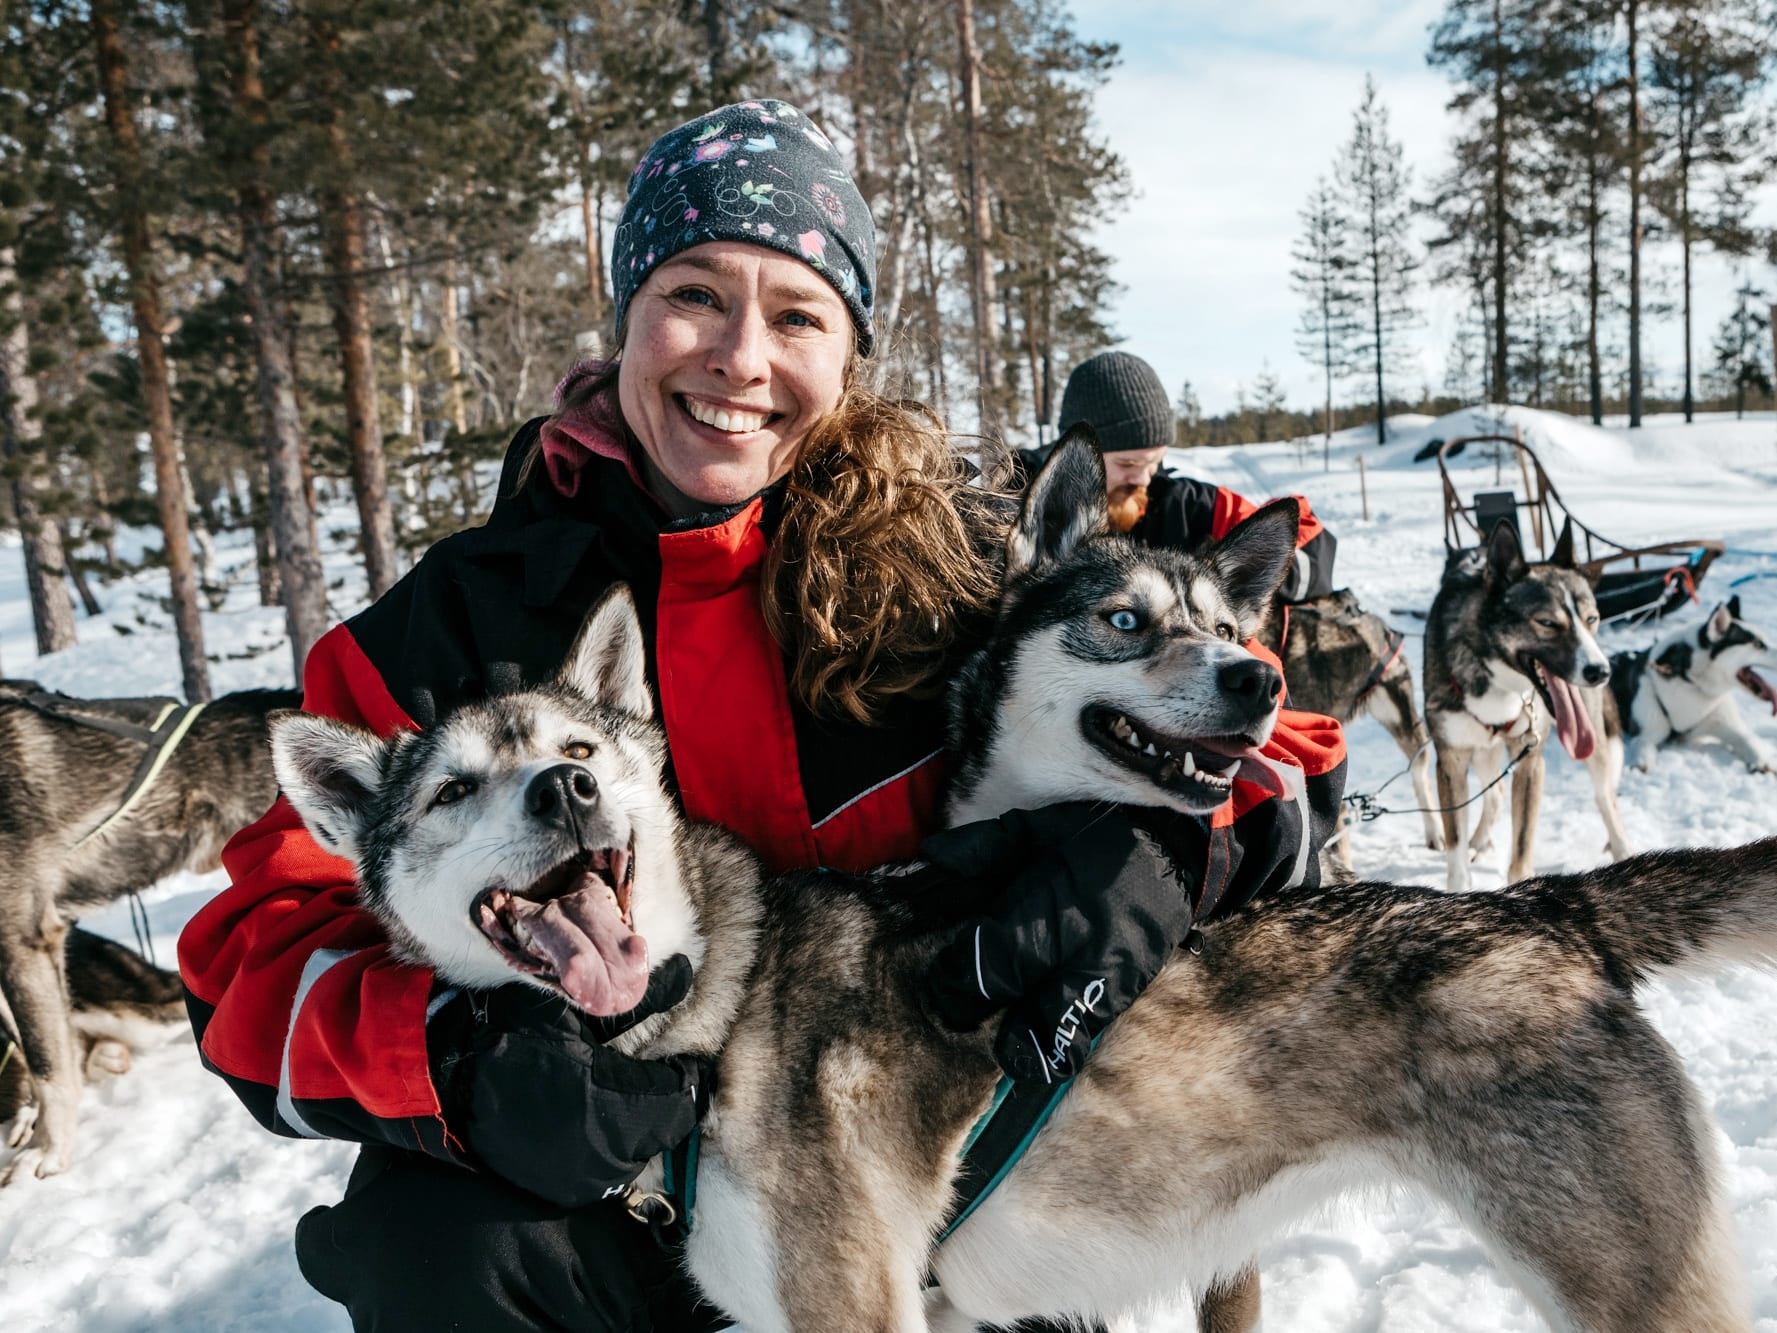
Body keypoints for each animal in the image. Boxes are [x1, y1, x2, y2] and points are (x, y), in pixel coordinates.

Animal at [1421, 518, 1627, 888]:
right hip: (1483, 752)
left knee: (1605, 797)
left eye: (1591, 618)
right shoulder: (1452, 761)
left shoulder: (1530, 760)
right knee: (1495, 792)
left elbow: (1522, 847)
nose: (1600, 671)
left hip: (1593, 744)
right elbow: (1456, 853)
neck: (1500, 680)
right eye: (1547, 622)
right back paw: (1479, 841)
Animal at [1613, 597, 1777, 778]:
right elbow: (1643, 749)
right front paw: (1640, 766)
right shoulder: (1645, 734)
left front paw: (1763, 762)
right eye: (1758, 644)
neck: (1691, 682)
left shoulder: (1726, 722)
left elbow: (1748, 740)